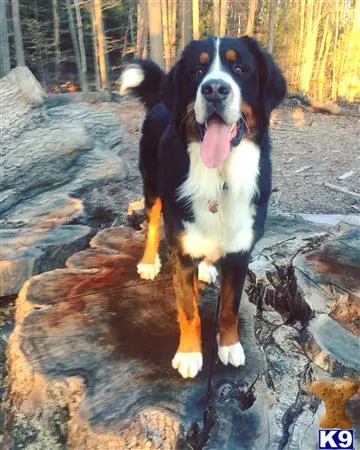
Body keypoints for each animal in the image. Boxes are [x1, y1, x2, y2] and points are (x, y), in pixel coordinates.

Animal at [120, 36, 286, 380]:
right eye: (196, 71)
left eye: (240, 68)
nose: (214, 89)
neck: (220, 177)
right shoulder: (182, 254)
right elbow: (189, 311)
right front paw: (189, 354)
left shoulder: (240, 253)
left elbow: (230, 309)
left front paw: (230, 345)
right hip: (153, 187)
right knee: (152, 225)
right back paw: (149, 263)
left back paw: (208, 267)